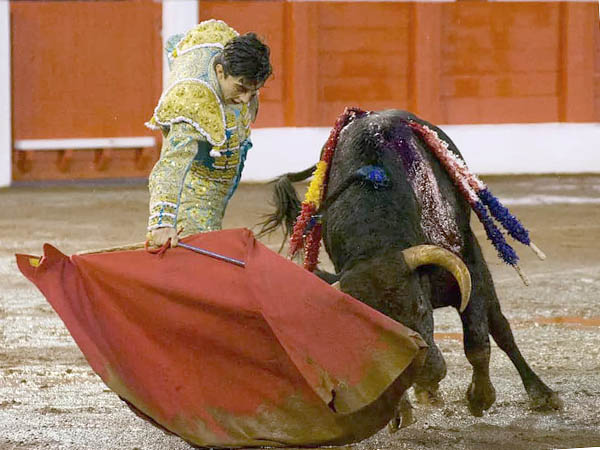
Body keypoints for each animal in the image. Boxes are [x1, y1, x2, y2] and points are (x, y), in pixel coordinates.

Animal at [259, 108, 562, 428]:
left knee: (501, 328)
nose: (425, 373)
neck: (377, 239)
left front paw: (480, 398)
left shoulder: (470, 264)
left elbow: (478, 342)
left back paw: (542, 394)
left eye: (420, 308)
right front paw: (402, 407)